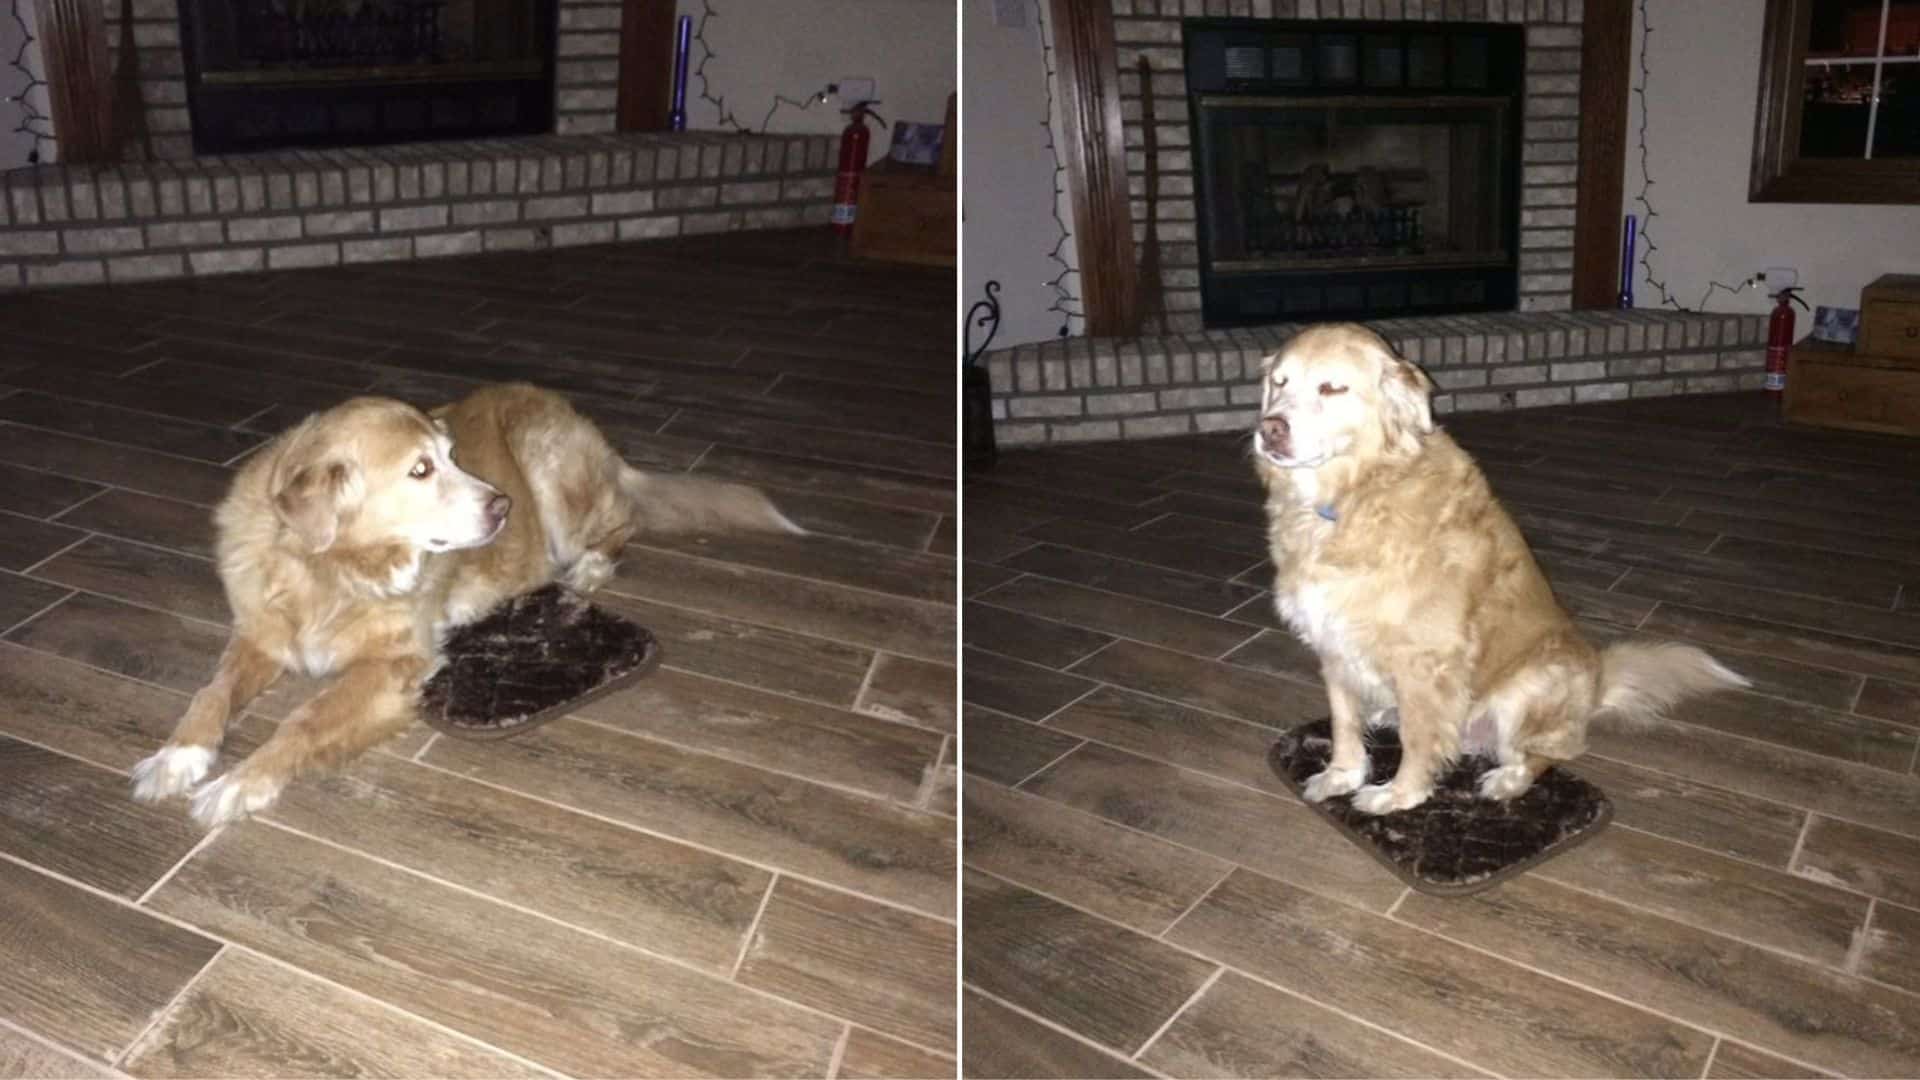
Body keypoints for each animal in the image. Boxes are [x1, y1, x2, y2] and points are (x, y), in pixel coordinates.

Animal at [133, 380, 794, 822]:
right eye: (421, 470)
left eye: (452, 457)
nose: (503, 506)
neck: (330, 568)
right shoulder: (261, 634)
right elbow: (212, 692)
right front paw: (178, 756)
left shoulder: (396, 666)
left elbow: (306, 719)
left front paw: (241, 782)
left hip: (553, 473)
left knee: (623, 521)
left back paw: (589, 566)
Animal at [1251, 322, 1751, 810]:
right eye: (1279, 383)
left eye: (1332, 388)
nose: (1269, 429)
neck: (1352, 498)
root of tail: (1597, 685)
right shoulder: (1333, 644)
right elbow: (1344, 724)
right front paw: (1341, 775)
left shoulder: (1426, 663)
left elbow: (1418, 740)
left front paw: (1400, 795)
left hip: (1529, 687)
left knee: (1546, 754)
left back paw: (1507, 781)